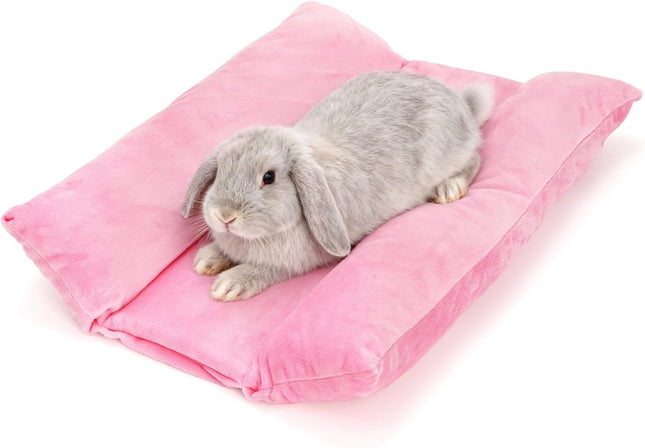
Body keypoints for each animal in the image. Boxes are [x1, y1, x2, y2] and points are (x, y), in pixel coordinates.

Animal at [182, 70, 493, 301]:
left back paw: (449, 189)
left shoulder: (291, 263)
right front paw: (207, 259)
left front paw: (229, 285)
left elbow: (265, 270)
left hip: (449, 155)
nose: (225, 216)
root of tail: (462, 103)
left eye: (268, 177)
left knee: (476, 158)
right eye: (220, 171)